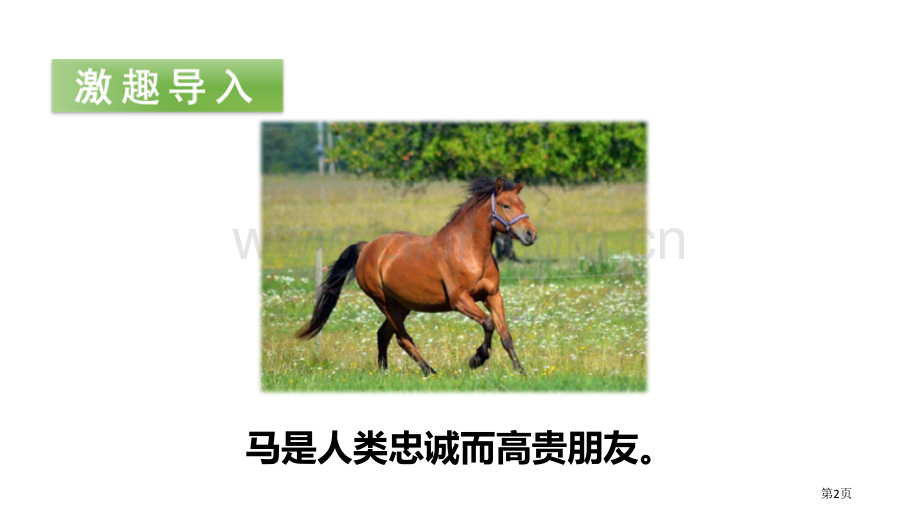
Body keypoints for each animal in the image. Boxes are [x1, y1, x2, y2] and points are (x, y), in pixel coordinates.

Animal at [294, 177, 538, 376]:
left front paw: (521, 372)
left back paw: (384, 372)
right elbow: (488, 323)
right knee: (402, 339)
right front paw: (477, 359)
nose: (531, 235)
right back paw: (429, 371)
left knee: (383, 334)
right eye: (506, 205)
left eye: (523, 205)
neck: (469, 251)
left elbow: (505, 335)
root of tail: (366, 248)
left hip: (402, 305)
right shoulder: (460, 300)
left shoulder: (493, 296)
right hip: (384, 302)